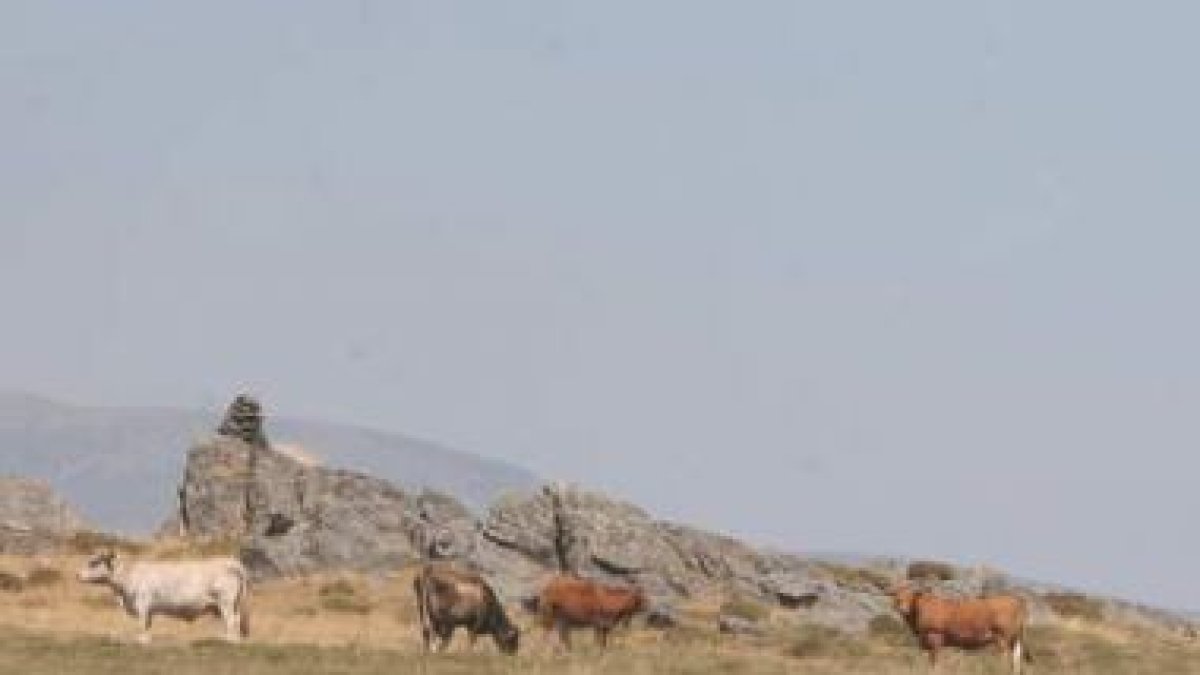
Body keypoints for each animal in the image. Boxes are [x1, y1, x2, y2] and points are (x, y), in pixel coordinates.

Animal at [78, 550, 250, 644]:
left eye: (94, 562)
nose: (78, 575)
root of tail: (231, 561)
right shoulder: (148, 609)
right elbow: (148, 624)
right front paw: (146, 640)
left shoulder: (142, 604)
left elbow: (141, 624)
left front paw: (140, 640)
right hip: (226, 605)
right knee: (233, 620)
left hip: (225, 602)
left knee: (231, 620)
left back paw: (229, 640)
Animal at [891, 583, 1032, 673]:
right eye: (896, 596)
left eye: (910, 595)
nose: (901, 606)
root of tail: (1016, 599)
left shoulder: (934, 639)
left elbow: (935, 663)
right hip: (1015, 639)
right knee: (1016, 659)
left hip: (1002, 638)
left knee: (1005, 657)